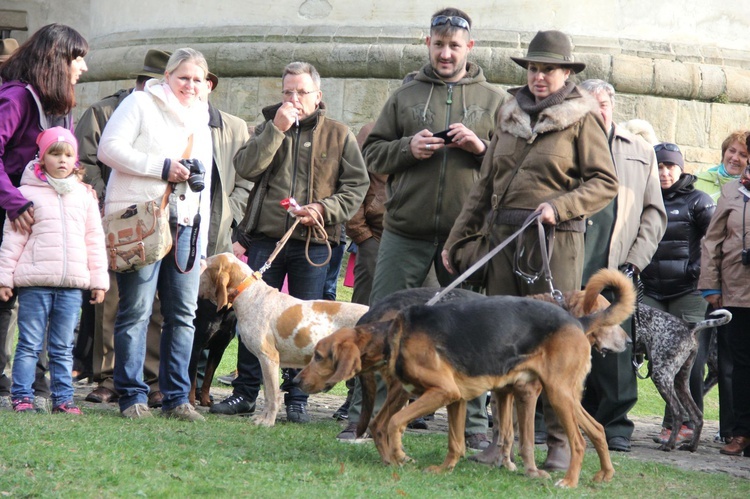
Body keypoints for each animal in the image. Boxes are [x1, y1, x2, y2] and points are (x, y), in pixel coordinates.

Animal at [197, 254, 368, 426]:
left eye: (204, 266)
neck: (250, 293)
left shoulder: (269, 357)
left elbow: (273, 395)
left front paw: (268, 422)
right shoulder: (264, 362)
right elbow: (267, 394)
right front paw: (262, 418)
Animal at [636, 304, 736, 454]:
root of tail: (690, 327)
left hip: (661, 376)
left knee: (678, 412)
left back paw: (669, 445)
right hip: (680, 382)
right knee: (697, 416)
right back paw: (691, 446)